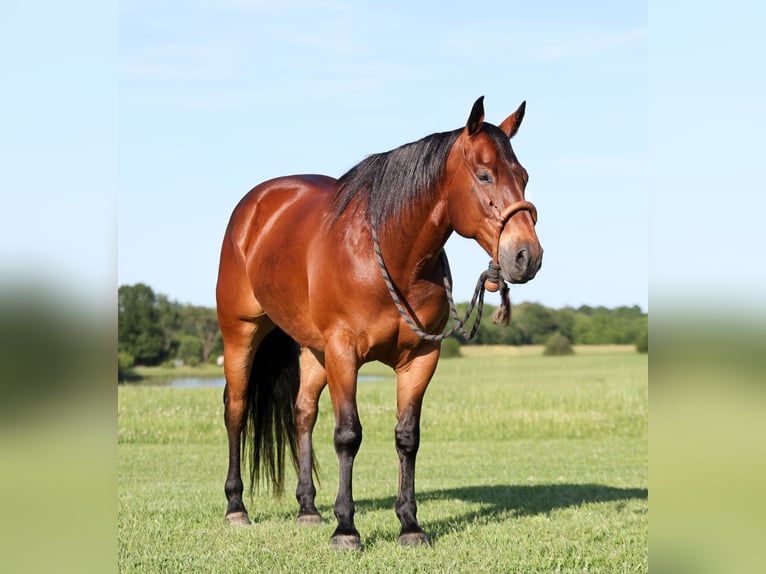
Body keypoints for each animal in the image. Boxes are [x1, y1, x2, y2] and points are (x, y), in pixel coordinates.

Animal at [216, 97, 544, 552]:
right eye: (484, 174)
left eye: (524, 177)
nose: (527, 256)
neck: (392, 255)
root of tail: (254, 208)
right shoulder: (344, 352)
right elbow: (347, 435)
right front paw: (346, 529)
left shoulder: (420, 357)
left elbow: (407, 437)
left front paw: (409, 525)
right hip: (242, 333)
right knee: (237, 409)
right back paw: (236, 507)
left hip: (313, 350)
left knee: (303, 413)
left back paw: (307, 508)